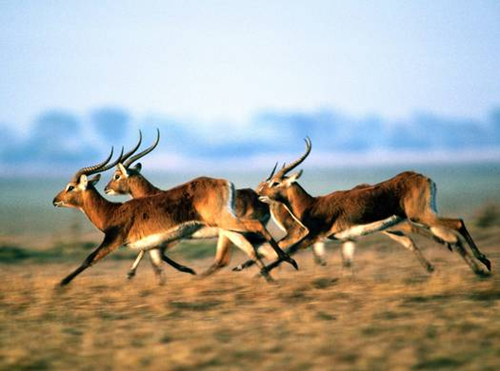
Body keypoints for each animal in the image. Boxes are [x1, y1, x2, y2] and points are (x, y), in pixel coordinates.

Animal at [54, 150, 298, 286]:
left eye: (70, 187)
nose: (55, 200)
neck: (112, 212)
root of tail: (226, 183)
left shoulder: (114, 240)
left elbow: (89, 259)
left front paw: (62, 283)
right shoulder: (153, 245)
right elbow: (158, 268)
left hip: (226, 224)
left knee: (254, 237)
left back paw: (287, 262)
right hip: (228, 229)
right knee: (249, 250)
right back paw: (268, 276)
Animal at [105, 131, 322, 280]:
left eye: (116, 175)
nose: (106, 188)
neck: (153, 195)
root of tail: (257, 195)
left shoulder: (172, 236)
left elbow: (150, 251)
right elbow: (148, 250)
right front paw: (132, 273)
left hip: (229, 231)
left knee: (231, 257)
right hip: (232, 232)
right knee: (258, 248)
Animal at [254, 139, 492, 276]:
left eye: (276, 183)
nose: (258, 193)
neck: (312, 204)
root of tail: (424, 177)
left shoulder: (315, 235)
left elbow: (290, 249)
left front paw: (264, 272)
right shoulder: (344, 238)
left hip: (419, 216)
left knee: (458, 223)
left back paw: (485, 262)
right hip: (422, 217)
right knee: (449, 236)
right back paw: (478, 269)